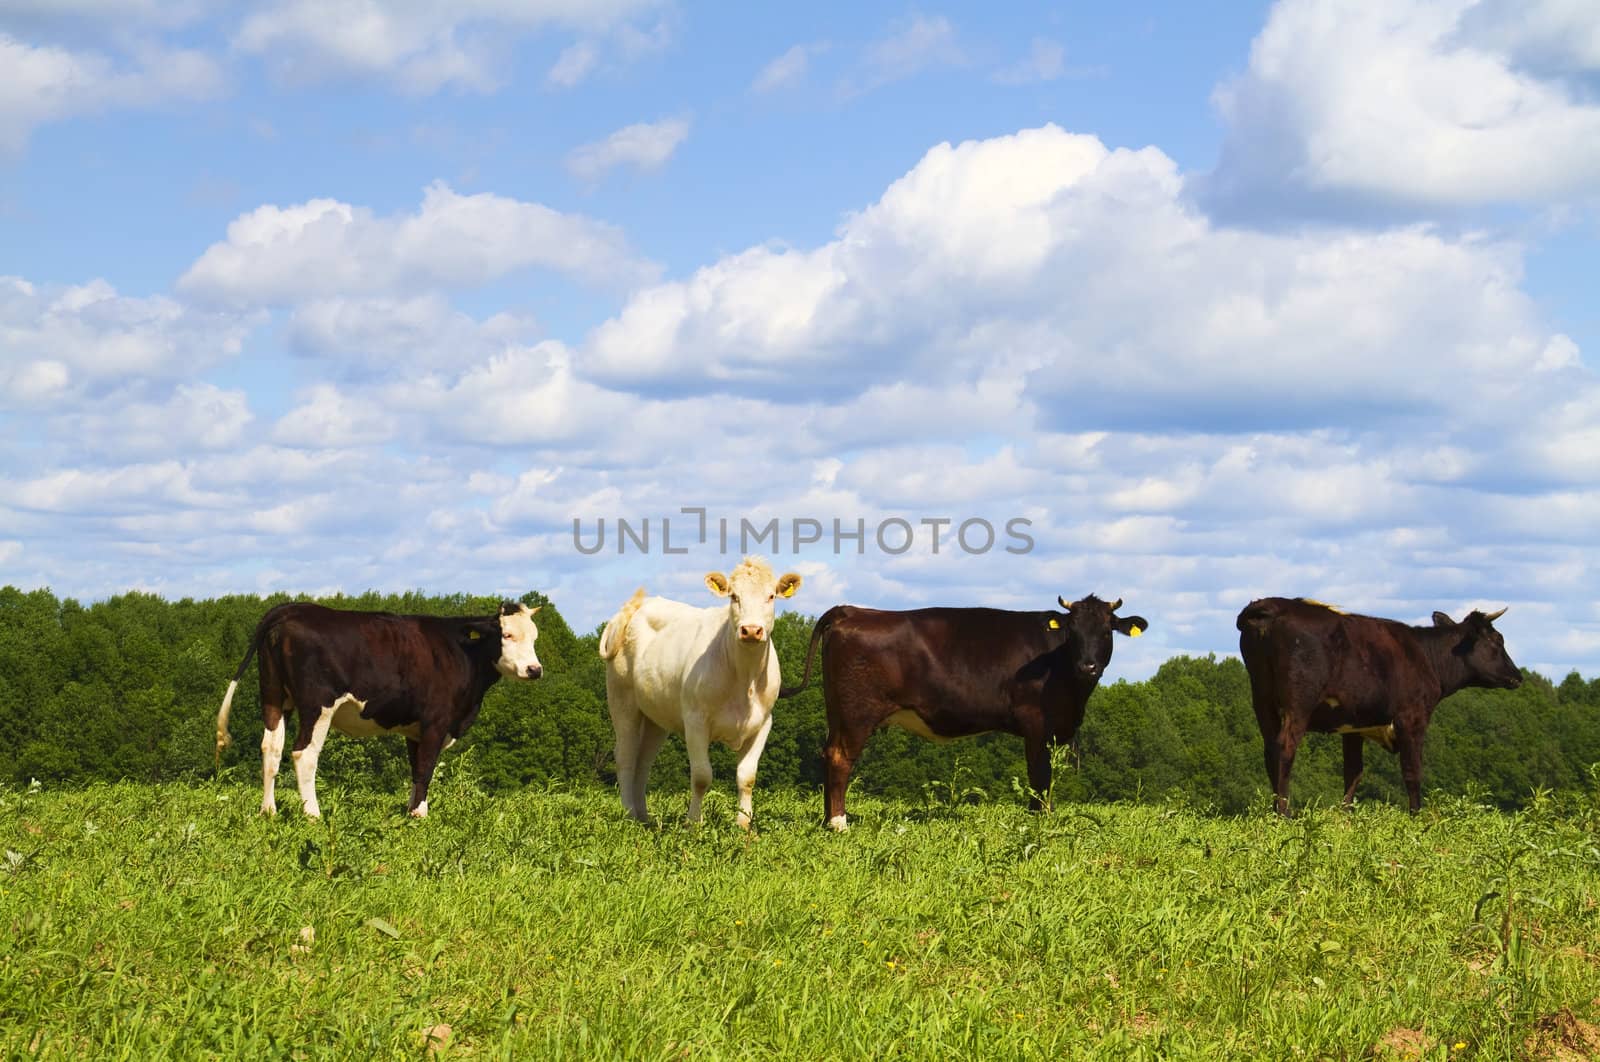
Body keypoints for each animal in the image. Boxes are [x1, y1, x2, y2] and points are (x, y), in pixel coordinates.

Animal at [212, 601, 544, 815]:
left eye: (535, 637)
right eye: (506, 634)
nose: (535, 669)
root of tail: (291, 608)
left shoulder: (415, 729)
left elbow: (415, 769)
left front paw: (409, 812)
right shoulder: (435, 721)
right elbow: (425, 768)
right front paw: (419, 816)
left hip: (274, 696)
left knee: (271, 747)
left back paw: (268, 811)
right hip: (317, 705)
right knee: (303, 754)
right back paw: (313, 814)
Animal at [598, 556, 800, 831]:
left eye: (771, 596)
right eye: (734, 596)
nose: (751, 630)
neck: (745, 678)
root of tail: (637, 604)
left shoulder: (763, 723)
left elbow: (747, 776)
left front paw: (744, 824)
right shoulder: (695, 720)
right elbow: (702, 776)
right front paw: (694, 823)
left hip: (655, 718)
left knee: (643, 762)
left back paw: (644, 817)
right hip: (622, 700)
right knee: (625, 757)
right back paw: (629, 814)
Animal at [777, 591, 1145, 825]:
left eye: (1106, 631)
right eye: (1073, 631)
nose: (1089, 666)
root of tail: (852, 610)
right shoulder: (1036, 723)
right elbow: (1039, 774)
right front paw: (1039, 817)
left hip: (837, 713)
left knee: (828, 754)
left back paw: (827, 819)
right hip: (857, 713)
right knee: (840, 758)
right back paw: (839, 822)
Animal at [1235, 598, 1523, 812]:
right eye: (1498, 640)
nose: (1518, 676)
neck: (1427, 657)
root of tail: (1271, 606)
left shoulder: (1353, 727)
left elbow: (1353, 774)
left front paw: (1345, 818)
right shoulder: (1412, 718)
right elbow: (1412, 772)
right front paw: (1417, 816)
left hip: (1262, 701)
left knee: (1270, 750)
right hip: (1298, 704)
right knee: (1284, 748)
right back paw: (1285, 813)